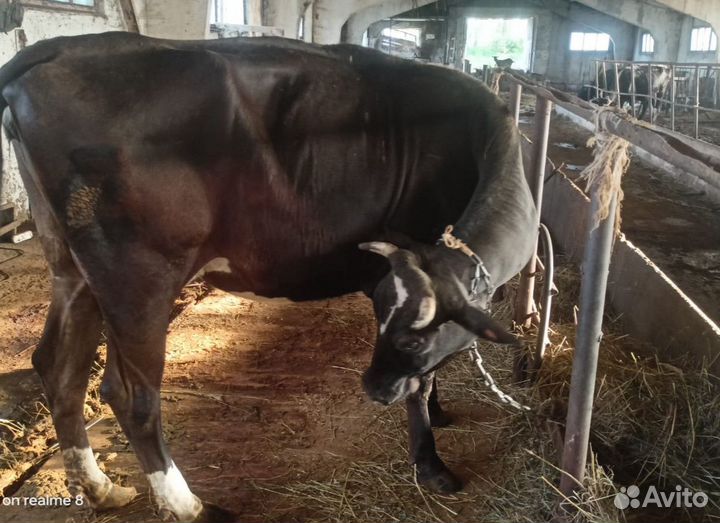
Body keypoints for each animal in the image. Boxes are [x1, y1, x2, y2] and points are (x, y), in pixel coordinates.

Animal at [0, 32, 537, 522]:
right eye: (406, 338)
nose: (372, 388)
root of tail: (61, 47)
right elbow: (422, 382)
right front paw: (432, 466)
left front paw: (441, 414)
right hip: (137, 276)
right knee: (129, 393)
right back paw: (190, 506)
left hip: (71, 266)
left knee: (58, 367)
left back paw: (100, 489)